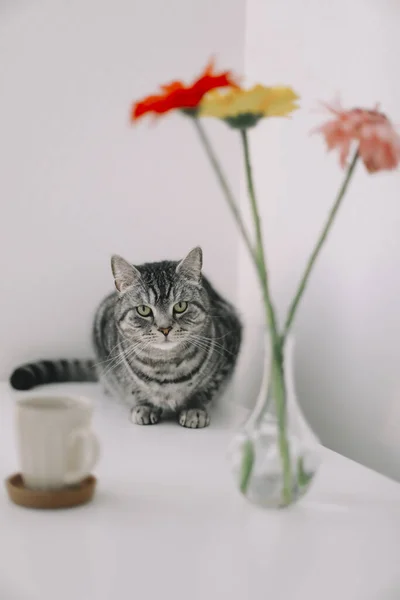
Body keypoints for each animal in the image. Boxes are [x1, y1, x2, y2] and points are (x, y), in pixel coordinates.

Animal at [10, 247, 241, 426]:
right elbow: (133, 387)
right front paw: (144, 407)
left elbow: (207, 389)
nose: (165, 328)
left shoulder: (229, 350)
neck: (165, 368)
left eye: (181, 306)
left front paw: (195, 409)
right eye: (144, 310)